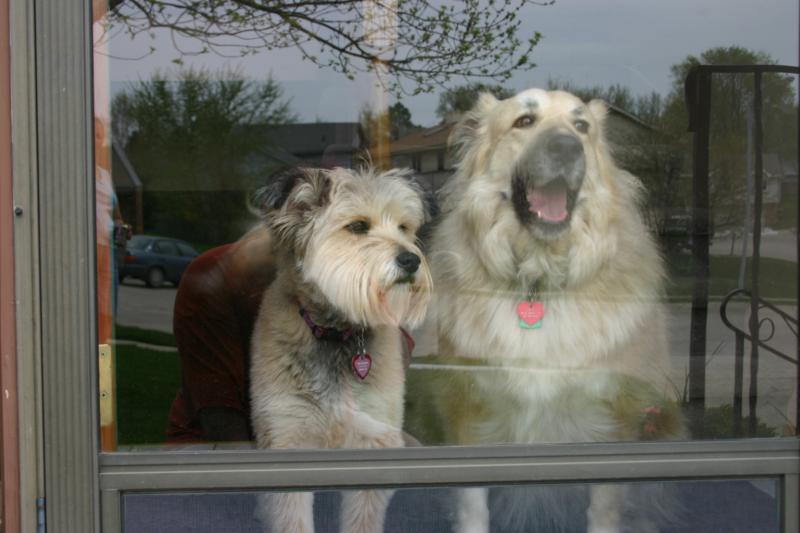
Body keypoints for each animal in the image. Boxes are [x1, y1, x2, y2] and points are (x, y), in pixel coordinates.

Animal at [249, 166, 432, 533]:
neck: (337, 333)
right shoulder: (286, 438)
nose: (411, 260)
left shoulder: (375, 438)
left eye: (404, 228)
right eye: (358, 226)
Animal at [425, 89, 684, 532]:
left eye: (582, 127)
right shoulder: (468, 415)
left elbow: (603, 509)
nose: (567, 147)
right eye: (524, 121)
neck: (539, 278)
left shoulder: (611, 424)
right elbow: (473, 505)